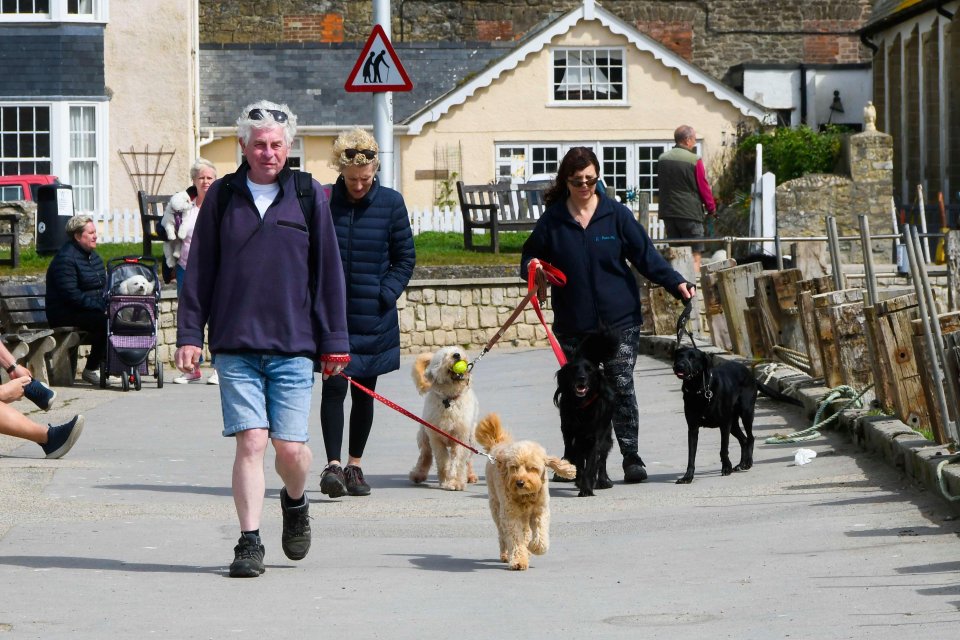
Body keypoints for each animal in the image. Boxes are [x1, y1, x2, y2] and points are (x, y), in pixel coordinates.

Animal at [408, 348, 480, 492]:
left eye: (458, 350)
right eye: (444, 356)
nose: (457, 355)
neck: (449, 399)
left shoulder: (461, 437)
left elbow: (459, 461)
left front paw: (456, 482)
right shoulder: (435, 438)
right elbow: (442, 460)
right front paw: (445, 479)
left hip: (471, 439)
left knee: (468, 459)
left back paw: (470, 476)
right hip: (424, 436)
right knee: (425, 456)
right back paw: (418, 474)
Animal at [474, 416, 572, 568]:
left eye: (532, 468)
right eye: (514, 467)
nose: (520, 482)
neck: (526, 496)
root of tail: (498, 444)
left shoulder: (540, 511)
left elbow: (541, 534)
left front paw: (535, 547)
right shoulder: (510, 515)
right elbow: (515, 538)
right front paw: (519, 560)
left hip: (524, 515)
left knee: (525, 531)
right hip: (497, 507)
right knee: (502, 534)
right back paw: (506, 554)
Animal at [552, 332, 620, 498]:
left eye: (589, 370)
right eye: (574, 369)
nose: (581, 378)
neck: (582, 407)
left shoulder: (594, 439)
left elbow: (591, 464)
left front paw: (587, 489)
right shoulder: (572, 437)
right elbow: (579, 464)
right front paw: (580, 482)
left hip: (606, 435)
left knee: (602, 459)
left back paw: (602, 481)